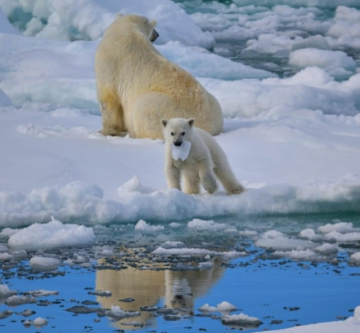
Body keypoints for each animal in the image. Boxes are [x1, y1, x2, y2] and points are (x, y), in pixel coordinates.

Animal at [94, 13, 224, 139]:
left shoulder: (110, 65)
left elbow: (108, 100)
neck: (126, 30)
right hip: (214, 104)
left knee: (142, 110)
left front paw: (106, 132)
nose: (157, 34)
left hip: (164, 108)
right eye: (153, 29)